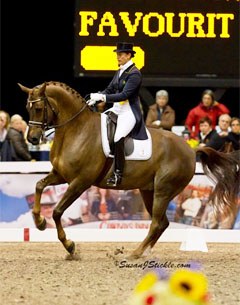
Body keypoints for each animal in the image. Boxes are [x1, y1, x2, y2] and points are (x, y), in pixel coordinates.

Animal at [18, 81, 238, 256]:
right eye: (28, 108)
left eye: (39, 108)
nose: (33, 139)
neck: (76, 130)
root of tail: (191, 150)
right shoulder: (61, 175)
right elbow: (39, 186)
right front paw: (39, 221)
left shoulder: (80, 182)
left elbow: (57, 212)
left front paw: (70, 246)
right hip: (148, 191)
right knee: (162, 223)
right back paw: (143, 253)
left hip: (163, 190)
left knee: (156, 223)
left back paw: (135, 254)